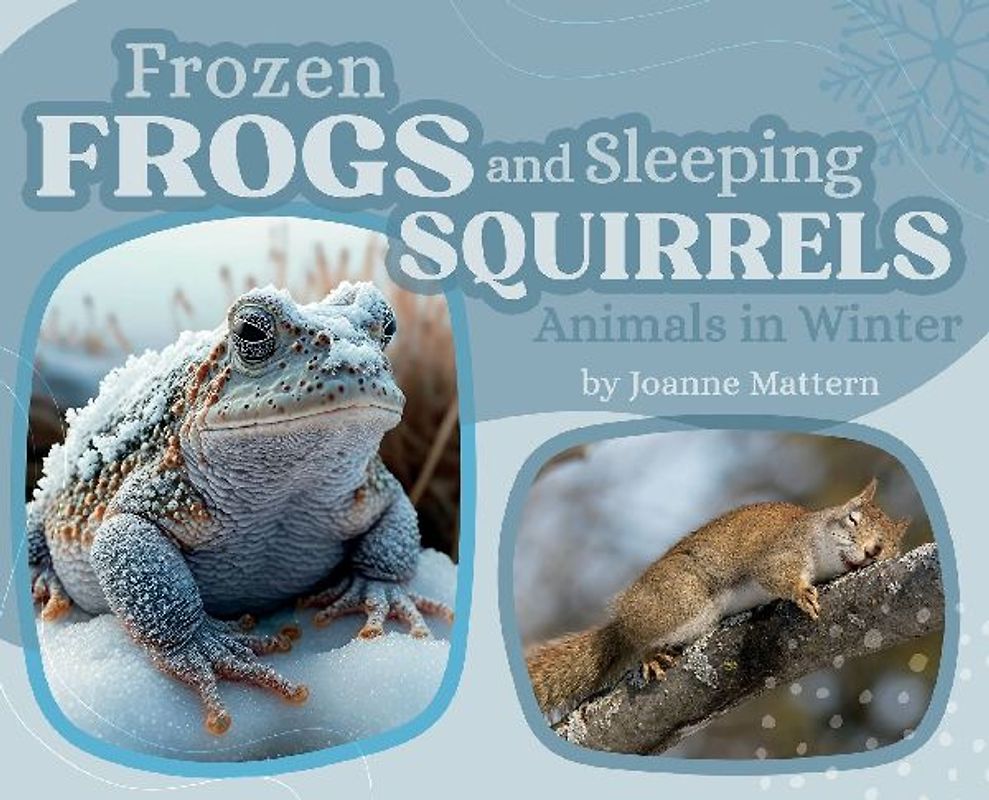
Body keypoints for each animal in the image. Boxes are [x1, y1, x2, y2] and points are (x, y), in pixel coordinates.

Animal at [526, 478, 911, 714]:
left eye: (888, 547)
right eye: (852, 518)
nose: (870, 551)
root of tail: (621, 619)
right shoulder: (782, 549)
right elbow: (776, 574)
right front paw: (802, 593)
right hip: (682, 601)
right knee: (637, 634)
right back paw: (648, 654)